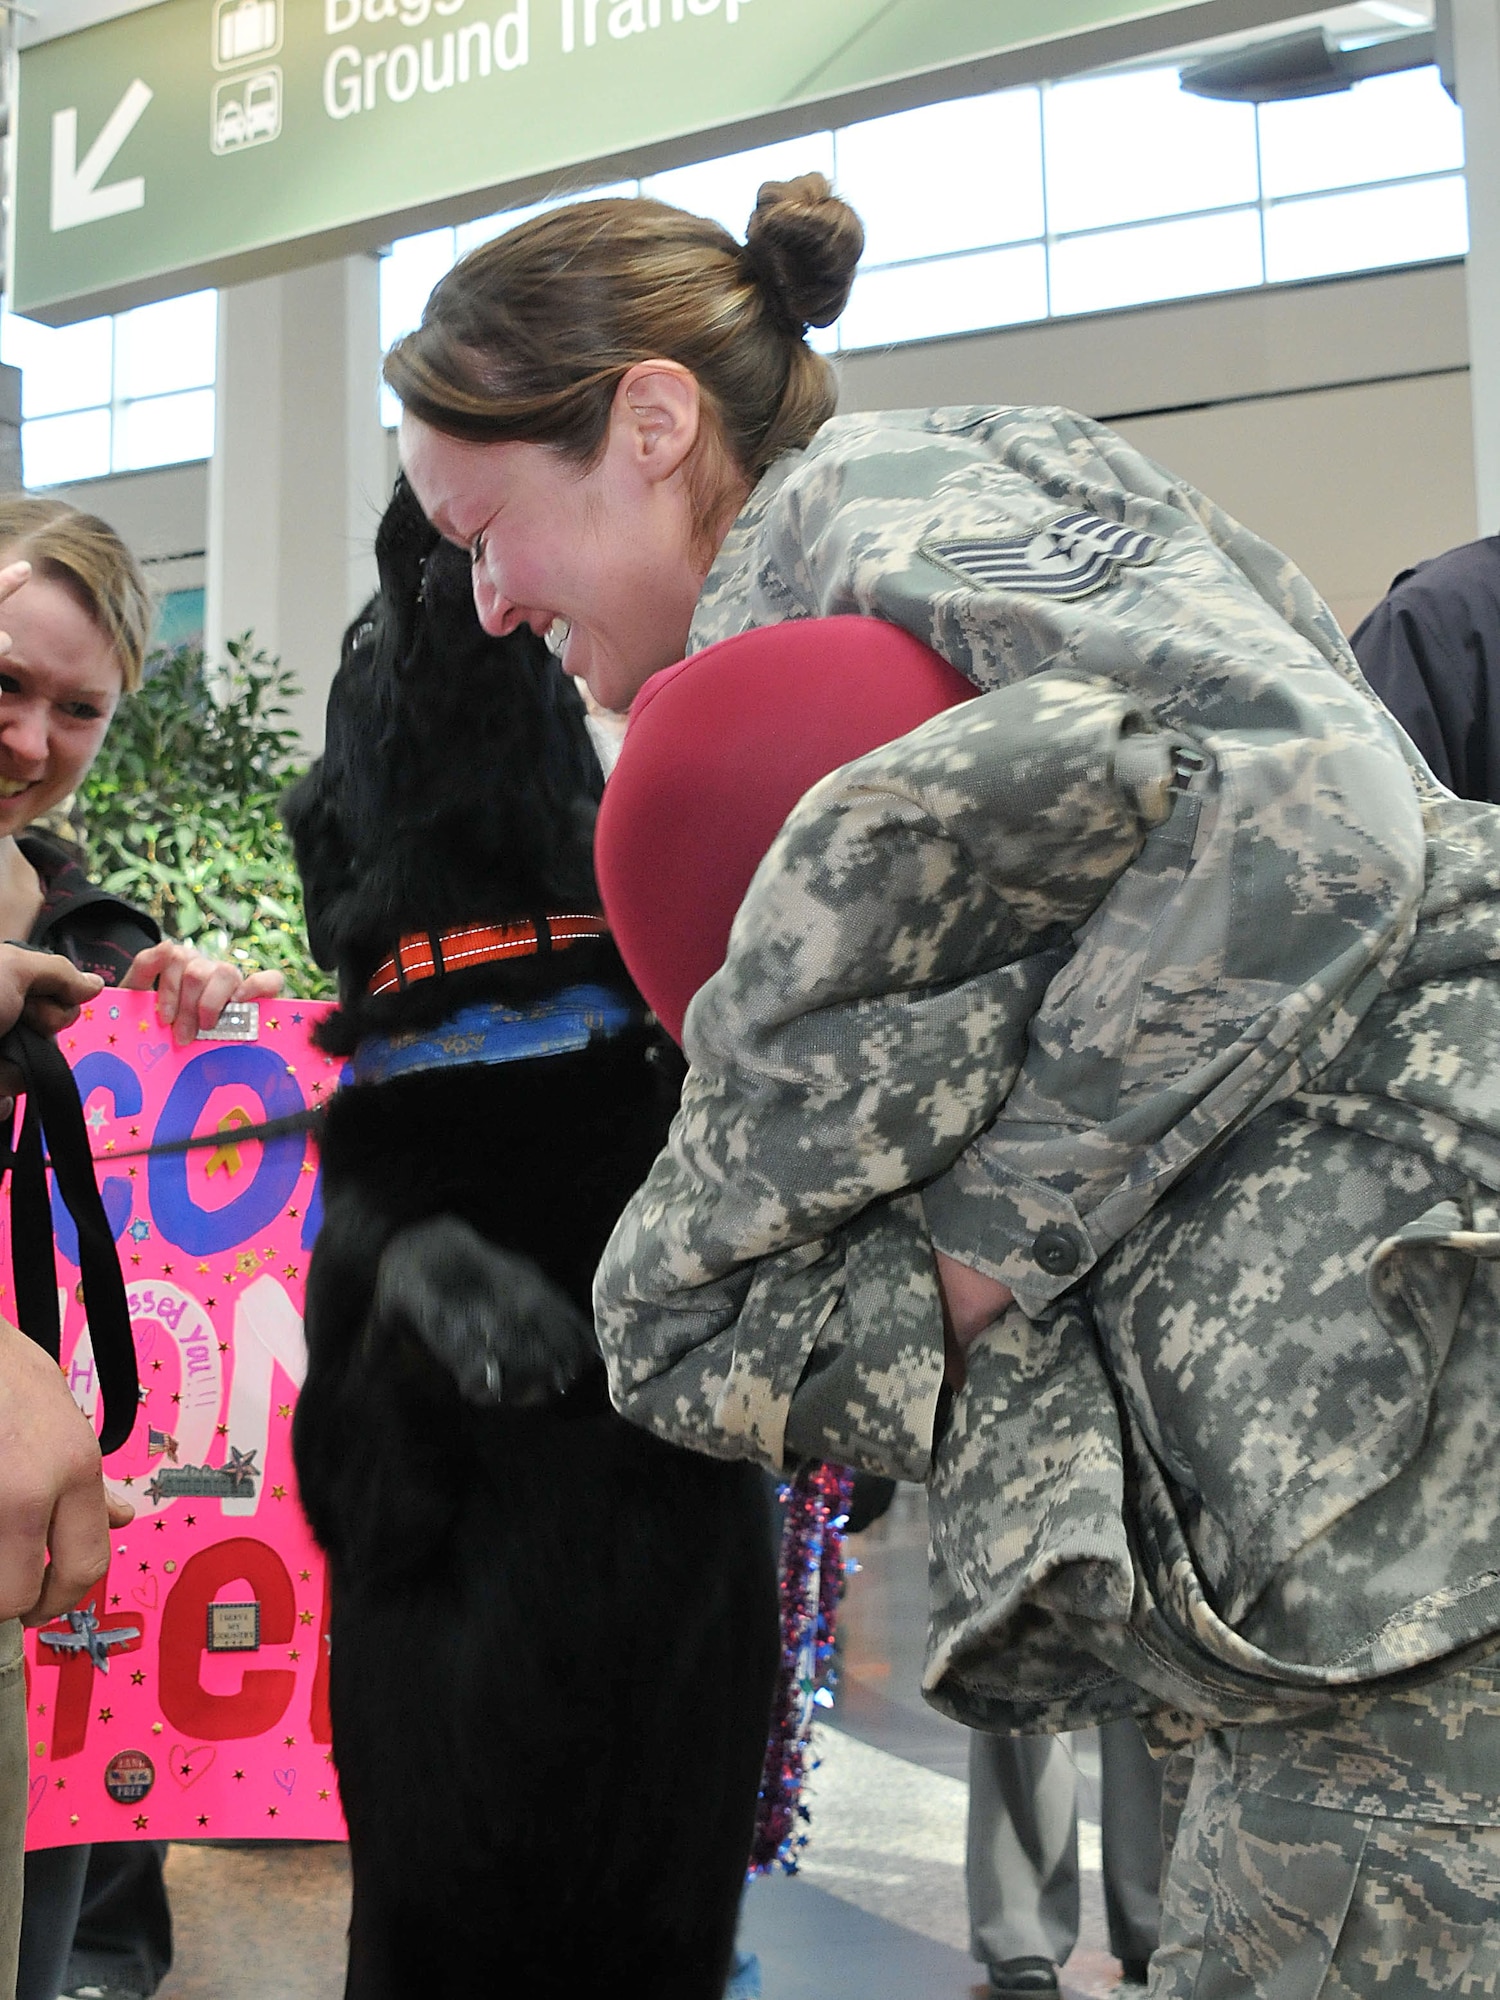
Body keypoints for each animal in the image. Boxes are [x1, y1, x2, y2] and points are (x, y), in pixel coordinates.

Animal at [282, 484, 780, 2000]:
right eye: (362, 637)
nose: (413, 495)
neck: (504, 1003)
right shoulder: (353, 1487)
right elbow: (414, 1248)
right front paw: (507, 1322)